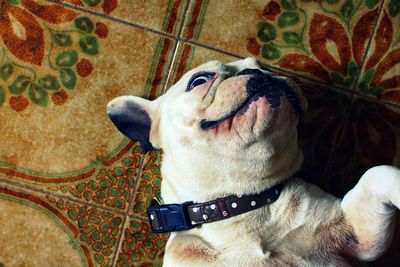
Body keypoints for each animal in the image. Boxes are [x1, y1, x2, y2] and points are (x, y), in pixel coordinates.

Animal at [106, 58, 400, 267]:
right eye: (199, 81)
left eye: (262, 66)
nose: (260, 73)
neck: (243, 205)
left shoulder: (359, 238)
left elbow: (378, 173)